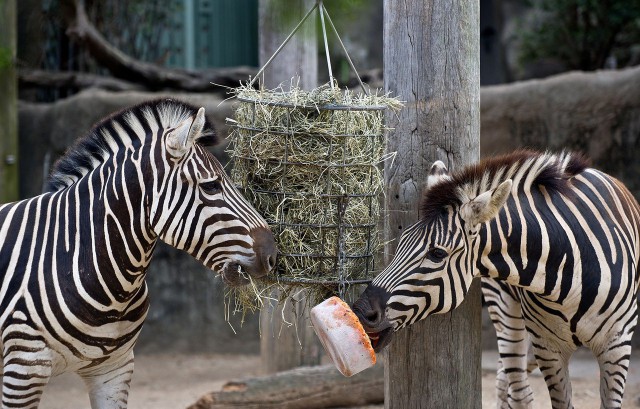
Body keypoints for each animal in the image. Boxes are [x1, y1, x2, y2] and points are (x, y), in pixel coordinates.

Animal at [352, 150, 640, 408]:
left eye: (437, 253)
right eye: (401, 241)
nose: (361, 311)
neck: (568, 265)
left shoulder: (617, 346)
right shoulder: (548, 348)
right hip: (508, 314)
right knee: (516, 385)